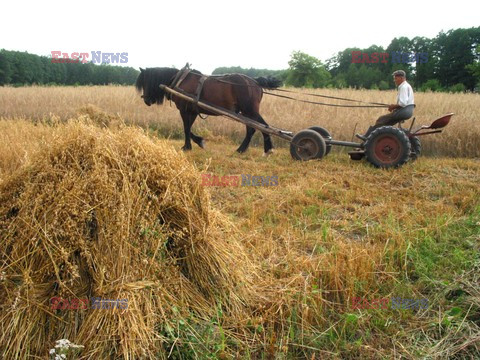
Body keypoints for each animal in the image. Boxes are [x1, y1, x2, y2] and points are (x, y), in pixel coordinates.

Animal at [134, 67, 282, 154]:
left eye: (146, 81)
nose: (146, 101)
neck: (180, 80)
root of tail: (254, 81)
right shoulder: (193, 110)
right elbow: (189, 128)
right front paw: (198, 142)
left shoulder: (184, 110)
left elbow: (186, 128)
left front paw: (187, 147)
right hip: (246, 112)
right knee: (255, 128)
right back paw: (247, 149)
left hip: (249, 110)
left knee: (261, 126)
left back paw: (262, 149)